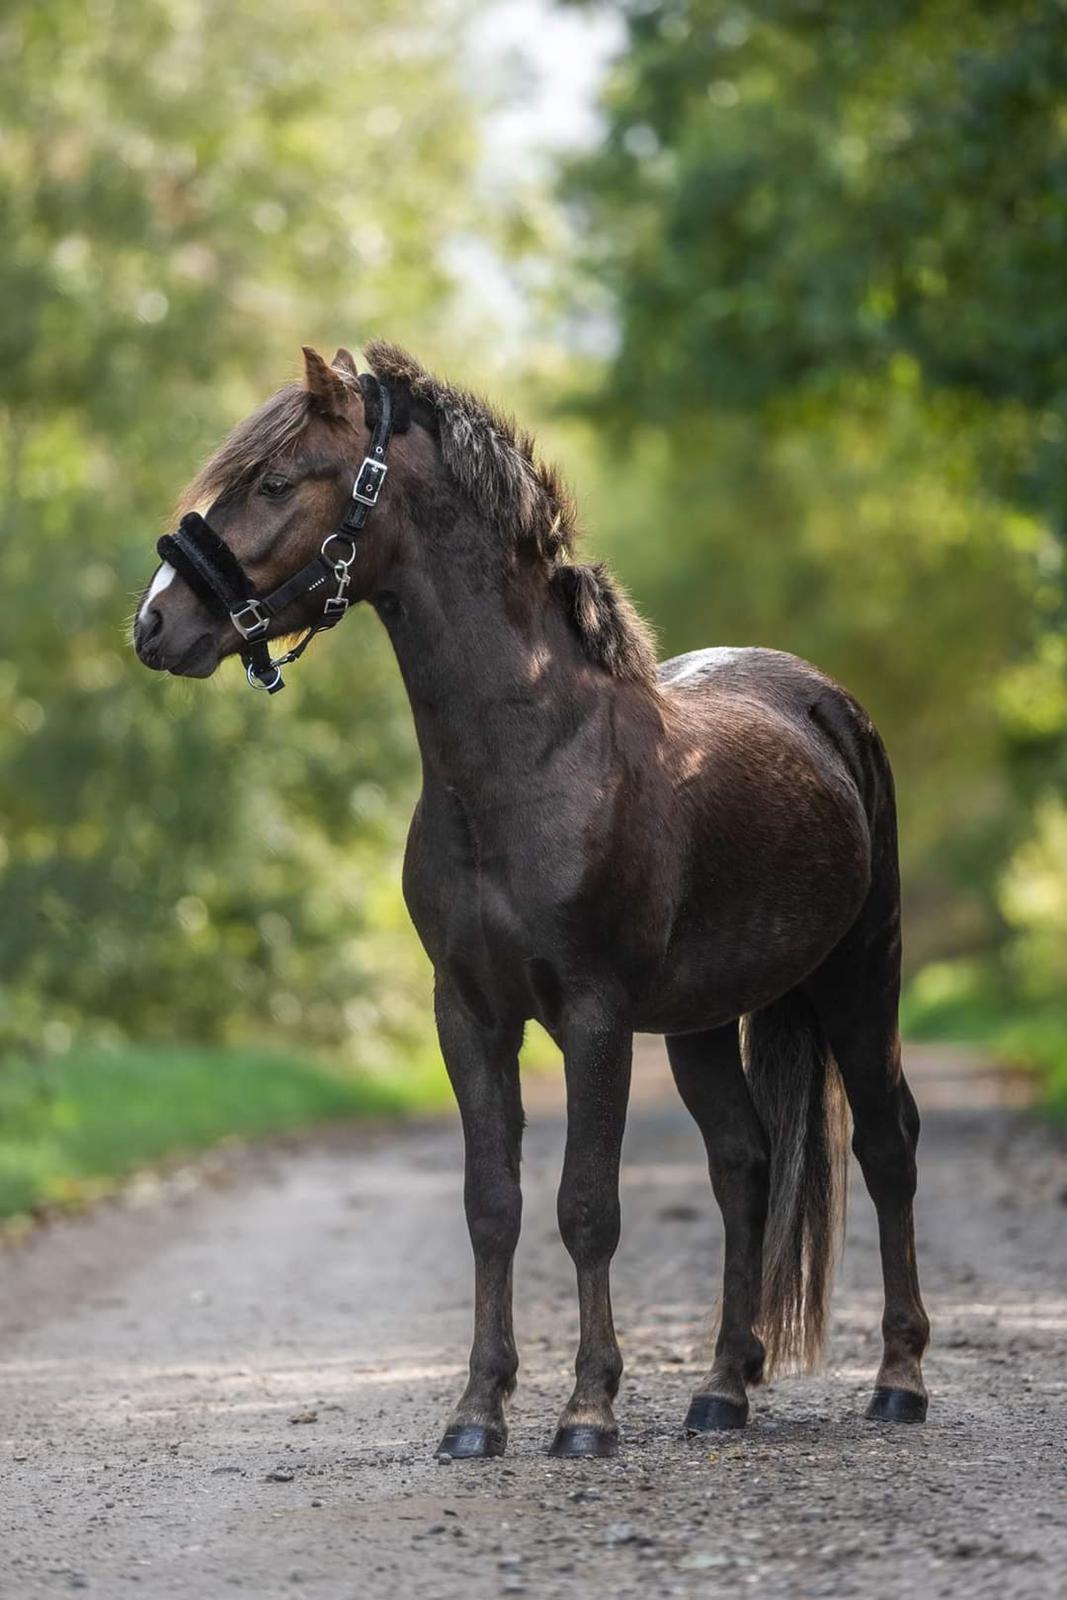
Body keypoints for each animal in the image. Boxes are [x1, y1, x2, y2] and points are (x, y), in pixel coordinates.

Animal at [133, 344, 927, 1459]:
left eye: (277, 482)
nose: (156, 622)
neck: (530, 762)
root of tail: (826, 704)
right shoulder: (468, 1014)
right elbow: (492, 1205)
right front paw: (477, 1412)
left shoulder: (593, 1018)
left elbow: (585, 1206)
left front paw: (586, 1411)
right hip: (701, 1020)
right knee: (742, 1163)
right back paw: (720, 1389)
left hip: (860, 978)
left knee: (887, 1145)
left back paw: (898, 1378)